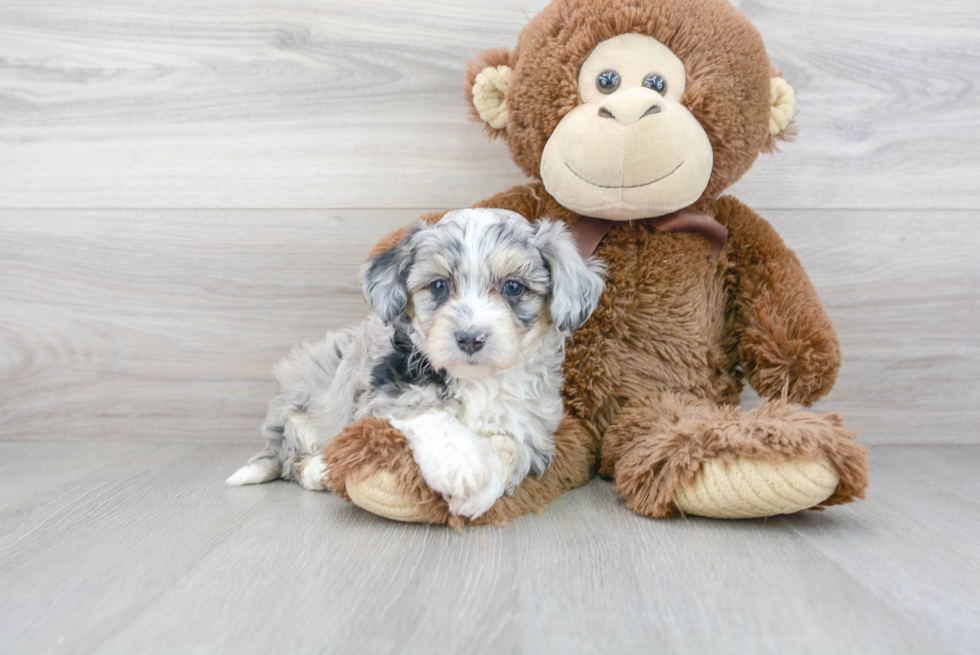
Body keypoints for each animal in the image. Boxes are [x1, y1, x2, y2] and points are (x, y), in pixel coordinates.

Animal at [227, 208, 604, 520]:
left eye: (513, 287)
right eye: (438, 286)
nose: (470, 338)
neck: (477, 380)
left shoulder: (531, 426)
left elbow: (510, 448)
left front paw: (479, 492)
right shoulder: (384, 396)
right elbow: (431, 414)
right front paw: (464, 467)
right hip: (301, 416)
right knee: (292, 463)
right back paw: (320, 469)